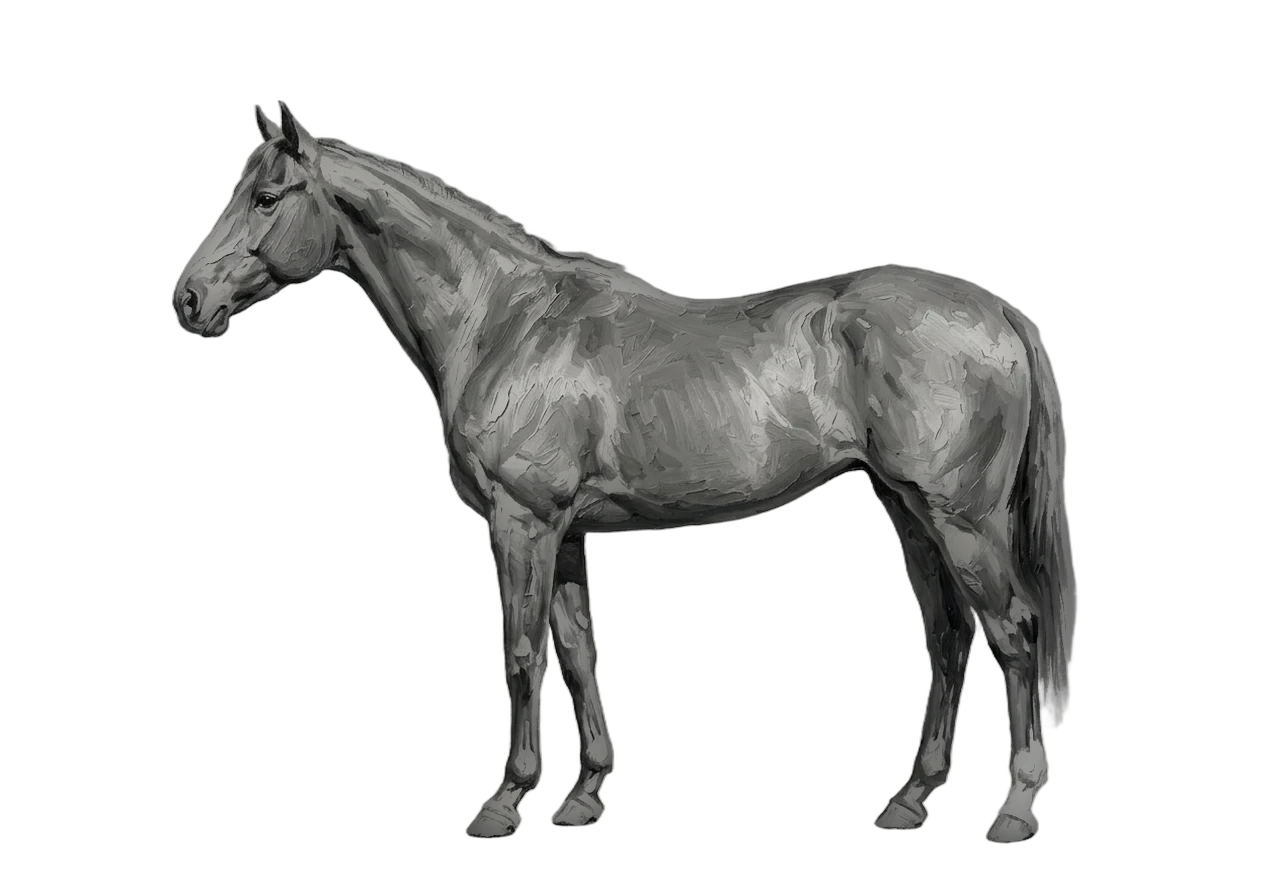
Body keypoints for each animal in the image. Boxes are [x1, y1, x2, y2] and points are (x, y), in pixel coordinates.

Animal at [172, 106, 1070, 842]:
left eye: (266, 197)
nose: (187, 298)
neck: (503, 322)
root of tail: (996, 312)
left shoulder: (523, 522)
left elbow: (520, 652)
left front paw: (506, 802)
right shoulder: (567, 532)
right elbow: (576, 651)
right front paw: (582, 799)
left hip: (962, 520)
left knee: (1015, 635)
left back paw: (1014, 811)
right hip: (907, 508)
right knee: (949, 639)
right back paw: (909, 803)